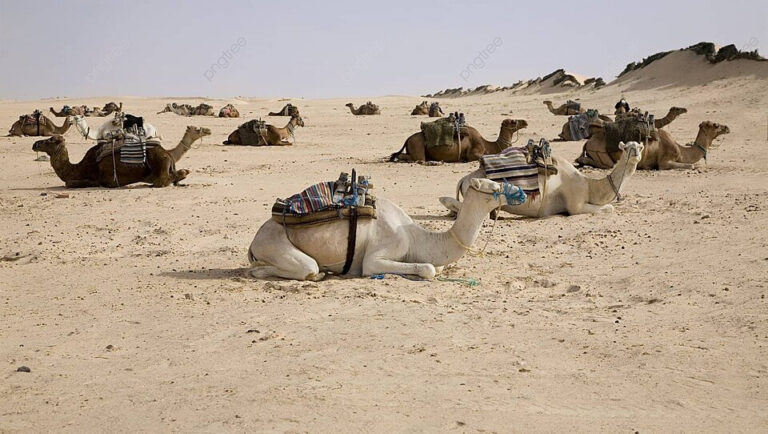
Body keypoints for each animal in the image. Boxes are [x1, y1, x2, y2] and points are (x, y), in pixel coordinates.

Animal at [33, 124, 210, 187]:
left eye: (50, 140)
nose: (35, 144)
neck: (78, 168)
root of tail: (167, 153)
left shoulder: (96, 178)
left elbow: (68, 184)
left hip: (160, 164)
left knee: (162, 180)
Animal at [249, 177, 524, 282]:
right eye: (494, 187)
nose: (521, 192)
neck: (415, 237)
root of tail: (253, 242)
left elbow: (437, 266)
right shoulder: (376, 257)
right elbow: (429, 268)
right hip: (274, 244)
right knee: (307, 268)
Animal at [390, 118, 528, 163]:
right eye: (513, 121)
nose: (525, 122)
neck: (489, 145)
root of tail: (408, 138)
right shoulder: (475, 151)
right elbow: (478, 156)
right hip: (417, 146)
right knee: (415, 158)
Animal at [440, 141, 644, 217]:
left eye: (640, 146)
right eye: (627, 148)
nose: (635, 153)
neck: (588, 185)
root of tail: (464, 179)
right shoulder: (575, 205)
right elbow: (608, 207)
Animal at [576, 122, 732, 171]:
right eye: (715, 125)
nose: (727, 127)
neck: (681, 151)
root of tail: (588, 141)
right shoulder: (664, 162)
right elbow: (691, 165)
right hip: (600, 152)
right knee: (608, 164)